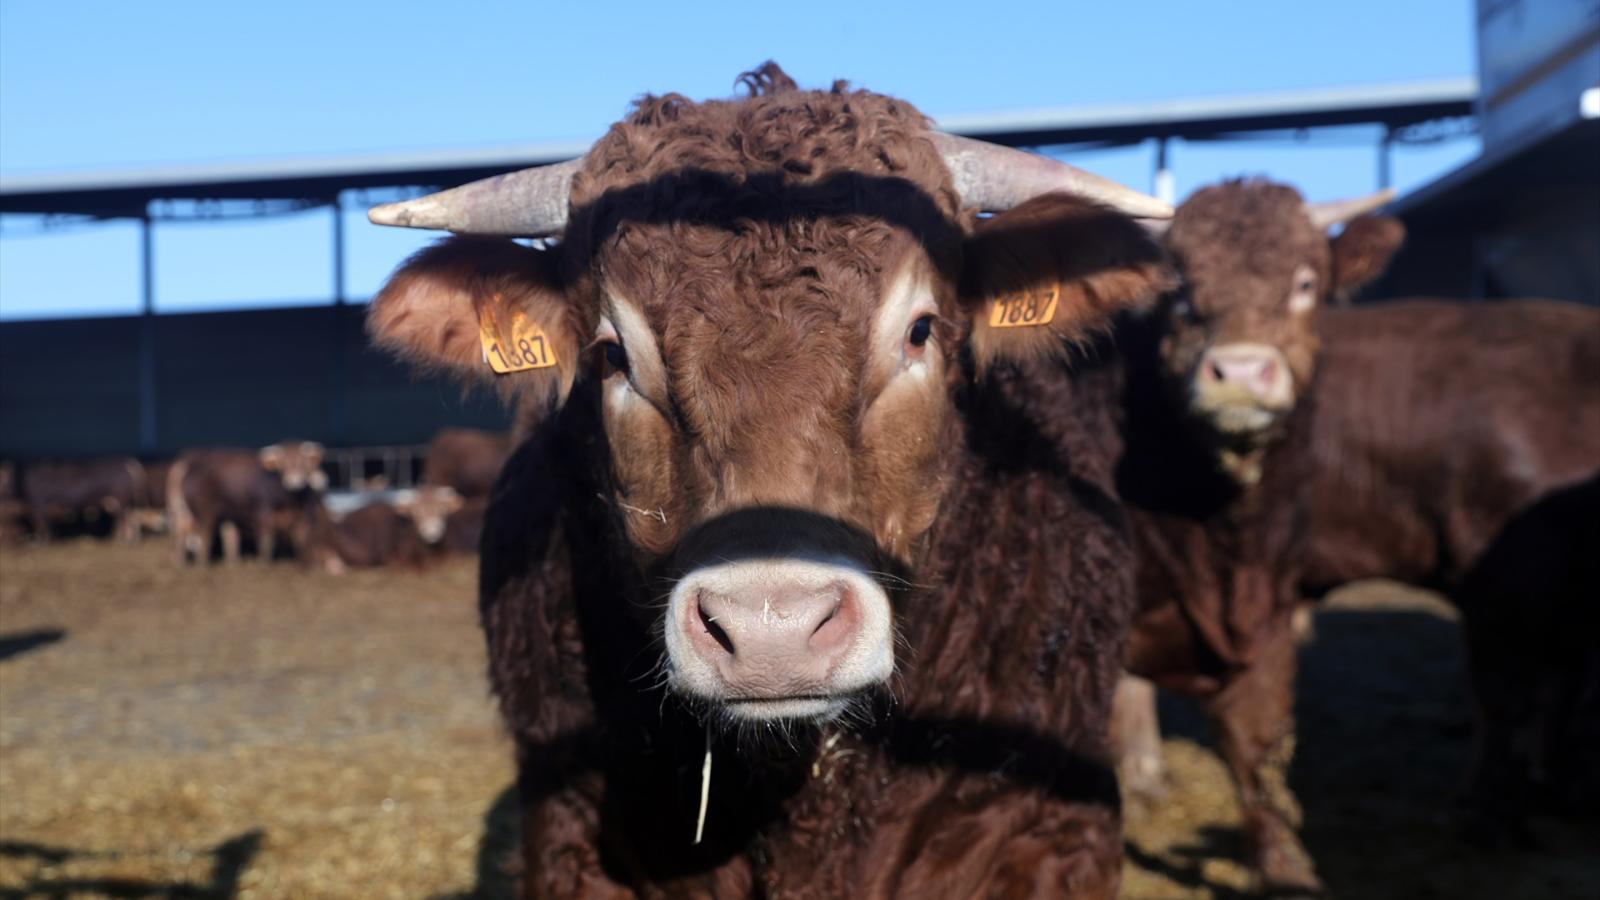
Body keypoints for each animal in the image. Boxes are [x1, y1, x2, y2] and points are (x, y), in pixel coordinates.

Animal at [15, 457, 145, 542]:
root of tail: (128, 462)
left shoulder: (38, 504)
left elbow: (42, 523)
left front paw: (42, 541)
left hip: (122, 499)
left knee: (125, 518)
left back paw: (124, 539)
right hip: (124, 502)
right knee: (129, 517)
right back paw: (128, 539)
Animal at [168, 441, 328, 564]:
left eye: (304, 463)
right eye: (282, 464)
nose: (295, 482)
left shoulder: (300, 520)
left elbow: (300, 542)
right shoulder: (263, 516)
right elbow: (266, 543)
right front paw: (264, 565)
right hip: (203, 513)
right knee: (203, 536)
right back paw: (201, 565)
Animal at [1107, 179, 1600, 893]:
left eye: (1306, 282)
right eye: (1179, 286)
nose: (1240, 373)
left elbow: (1555, 687)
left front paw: (1551, 788)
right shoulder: (1500, 576)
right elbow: (1503, 695)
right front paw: (1486, 812)